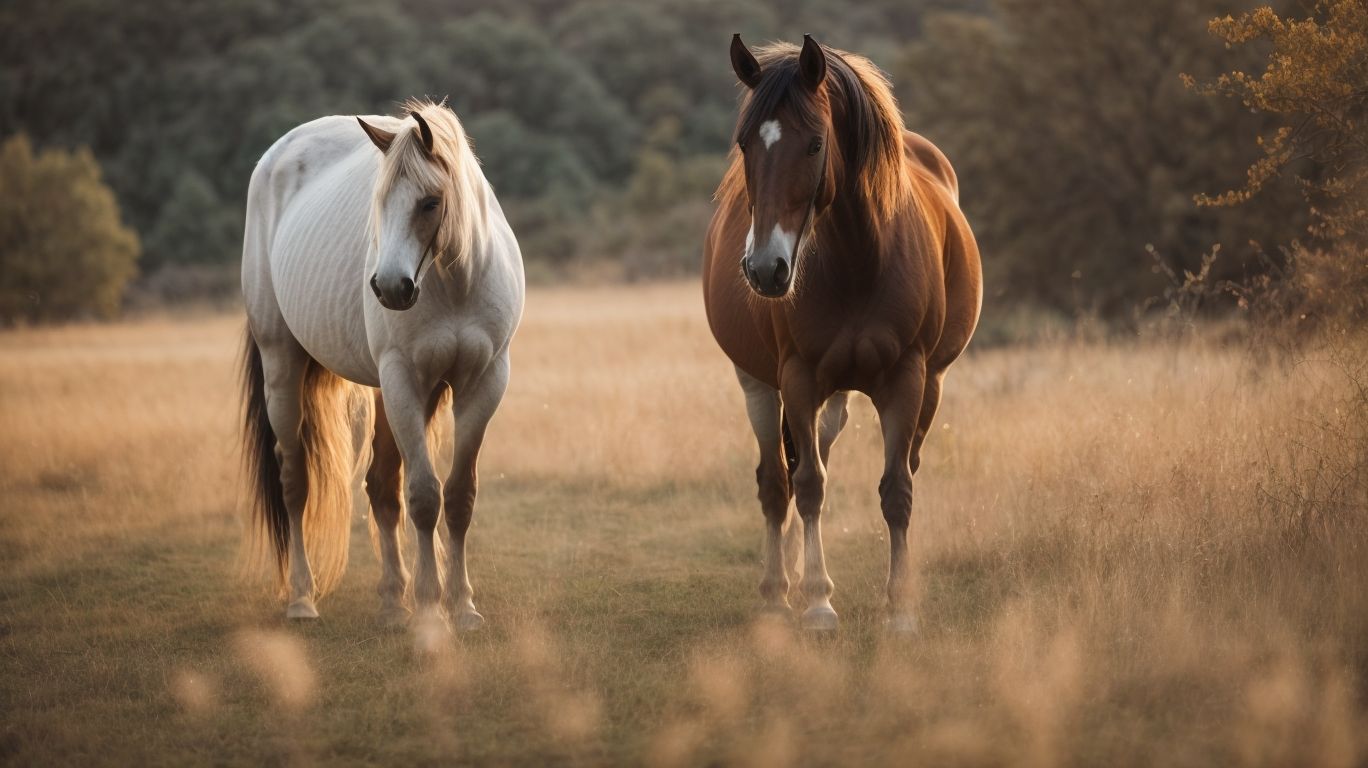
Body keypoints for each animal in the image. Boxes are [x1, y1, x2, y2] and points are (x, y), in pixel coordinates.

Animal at [240, 99, 524, 629]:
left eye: (430, 203)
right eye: (379, 201)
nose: (390, 287)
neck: (455, 282)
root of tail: (274, 157)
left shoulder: (482, 383)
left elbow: (458, 496)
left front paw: (463, 606)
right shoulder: (403, 381)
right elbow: (424, 497)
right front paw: (432, 610)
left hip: (386, 393)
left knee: (380, 488)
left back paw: (394, 600)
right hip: (284, 369)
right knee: (295, 484)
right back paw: (303, 598)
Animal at [703, 36, 982, 632]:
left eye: (814, 144)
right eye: (744, 144)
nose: (766, 269)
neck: (861, 258)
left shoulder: (907, 379)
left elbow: (897, 489)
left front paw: (901, 608)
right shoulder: (798, 379)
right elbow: (807, 487)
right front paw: (818, 603)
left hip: (901, 390)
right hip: (759, 385)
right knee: (777, 482)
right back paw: (776, 591)